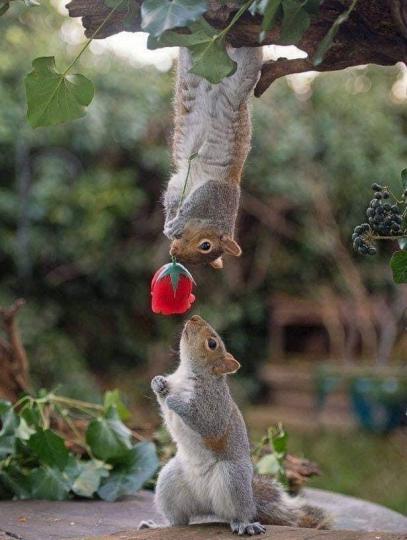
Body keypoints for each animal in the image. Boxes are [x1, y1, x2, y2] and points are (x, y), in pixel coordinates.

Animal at [143, 316, 332, 536]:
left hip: (232, 478)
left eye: (212, 343)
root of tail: (207, 505)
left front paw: (174, 401)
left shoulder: (214, 405)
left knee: (237, 513)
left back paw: (244, 524)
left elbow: (207, 423)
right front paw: (158, 383)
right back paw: (159, 525)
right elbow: (164, 402)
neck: (187, 374)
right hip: (169, 481)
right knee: (179, 521)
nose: (194, 318)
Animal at [164, 45, 262, 268]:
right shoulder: (216, 191)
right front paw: (176, 222)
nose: (174, 252)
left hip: (191, 71)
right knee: (250, 57)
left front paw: (172, 223)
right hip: (245, 72)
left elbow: (173, 196)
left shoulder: (182, 183)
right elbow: (191, 203)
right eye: (206, 245)